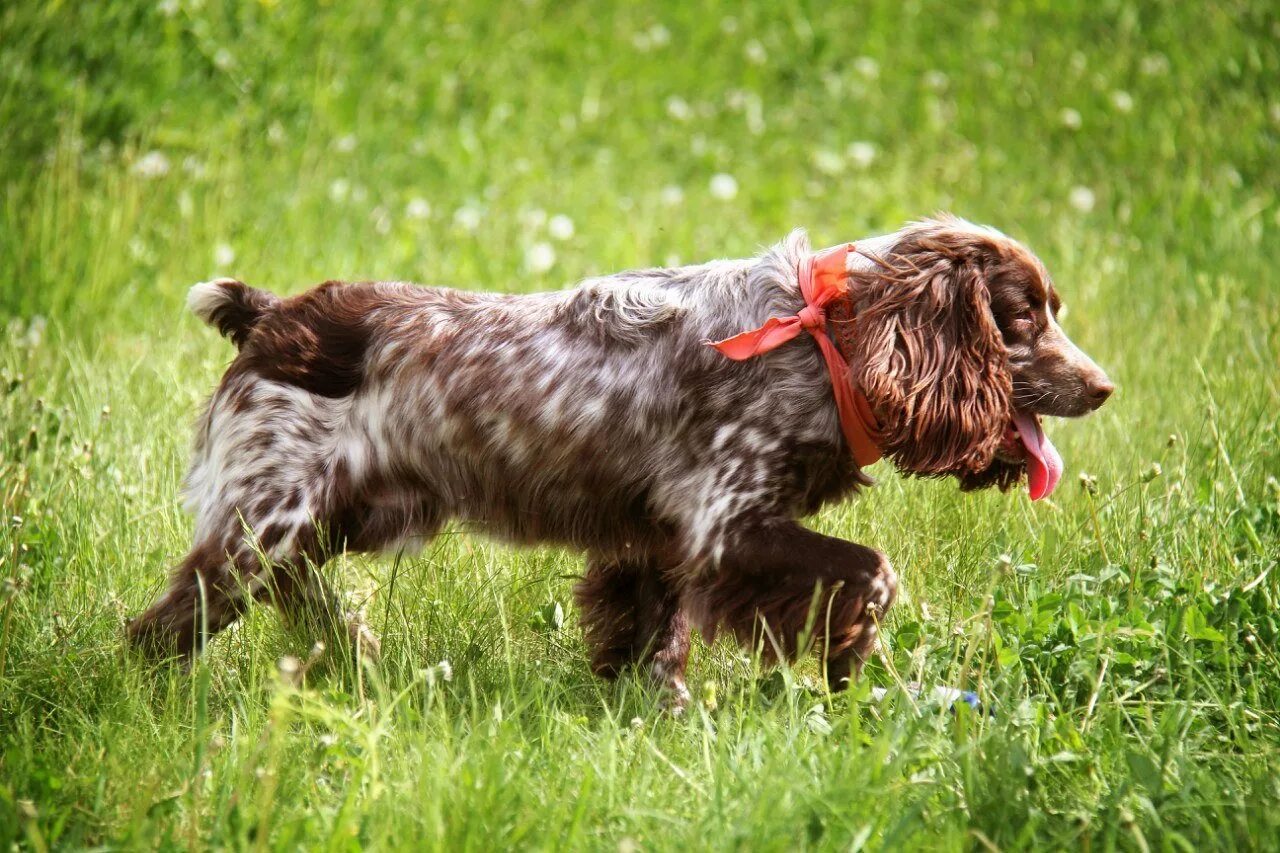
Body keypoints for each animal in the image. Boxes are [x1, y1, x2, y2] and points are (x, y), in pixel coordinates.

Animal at [127, 213, 1111, 701]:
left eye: (1050, 310)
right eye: (1022, 317)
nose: (1104, 386)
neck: (824, 339)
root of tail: (271, 318)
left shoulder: (668, 541)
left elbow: (654, 639)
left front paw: (655, 712)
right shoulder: (725, 524)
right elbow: (871, 571)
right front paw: (845, 662)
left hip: (329, 521)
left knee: (286, 600)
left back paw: (347, 650)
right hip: (267, 526)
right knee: (162, 626)